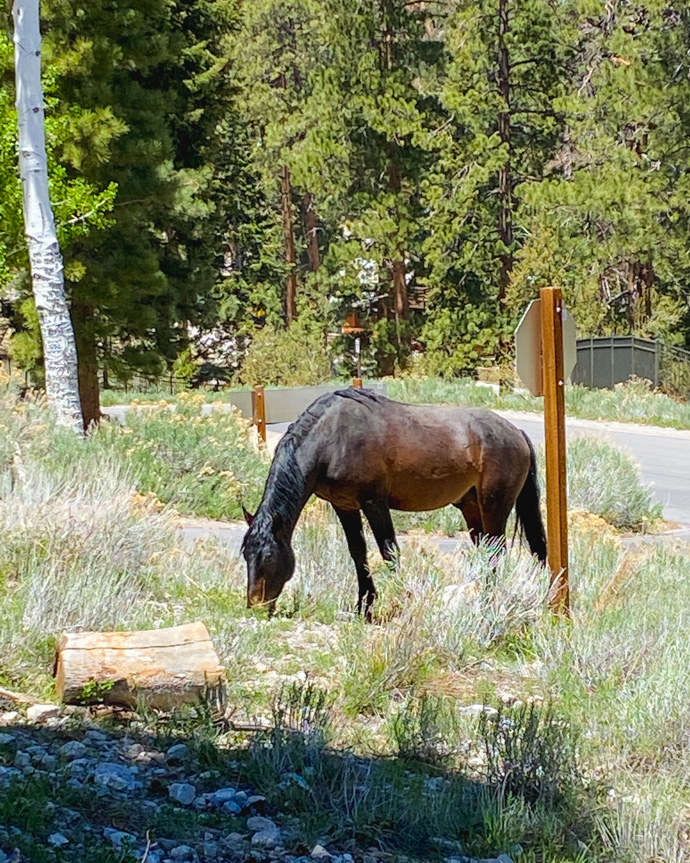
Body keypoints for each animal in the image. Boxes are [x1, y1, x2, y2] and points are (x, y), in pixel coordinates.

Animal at [239, 388, 544, 616]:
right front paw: (364, 606)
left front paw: (400, 600)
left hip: (494, 506)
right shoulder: (345, 506)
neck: (333, 438)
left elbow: (389, 552)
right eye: (246, 554)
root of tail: (516, 432)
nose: (255, 606)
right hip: (471, 508)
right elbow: (358, 553)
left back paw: (490, 602)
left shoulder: (374, 502)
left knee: (496, 553)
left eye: (268, 556)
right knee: (487, 552)